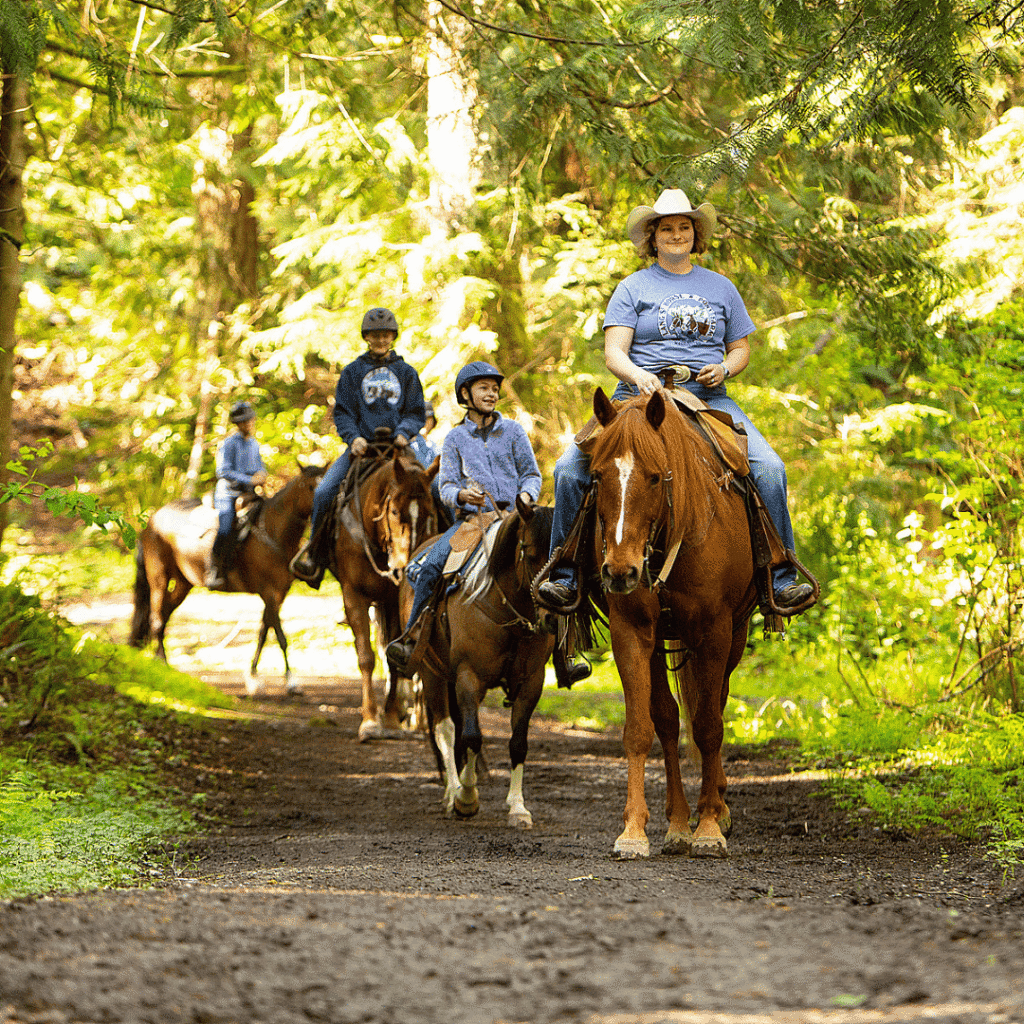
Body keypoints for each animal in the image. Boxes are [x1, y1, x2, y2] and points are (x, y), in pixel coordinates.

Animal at [129, 465, 324, 695]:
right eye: (309, 486)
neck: (273, 533)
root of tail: (151, 521)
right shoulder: (268, 592)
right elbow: (280, 636)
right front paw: (291, 681)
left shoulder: (279, 593)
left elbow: (263, 633)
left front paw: (253, 677)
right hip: (158, 579)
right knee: (157, 619)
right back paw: (162, 663)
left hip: (183, 583)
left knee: (165, 614)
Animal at [328, 451, 440, 742]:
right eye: (394, 511)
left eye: (430, 513)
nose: (404, 569)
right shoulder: (354, 596)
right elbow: (366, 658)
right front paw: (369, 721)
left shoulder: (393, 603)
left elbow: (394, 659)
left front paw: (390, 719)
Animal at [401, 497, 556, 827]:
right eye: (529, 553)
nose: (553, 615)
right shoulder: (468, 675)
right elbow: (471, 736)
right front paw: (466, 799)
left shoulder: (531, 682)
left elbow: (518, 742)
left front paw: (517, 807)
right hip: (432, 673)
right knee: (445, 729)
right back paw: (452, 792)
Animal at [584, 387, 758, 859]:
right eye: (596, 477)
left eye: (655, 477)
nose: (620, 572)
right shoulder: (632, 631)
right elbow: (642, 728)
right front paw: (634, 831)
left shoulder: (715, 632)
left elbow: (709, 727)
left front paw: (711, 828)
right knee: (668, 718)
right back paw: (679, 823)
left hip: (735, 635)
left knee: (714, 706)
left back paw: (716, 809)